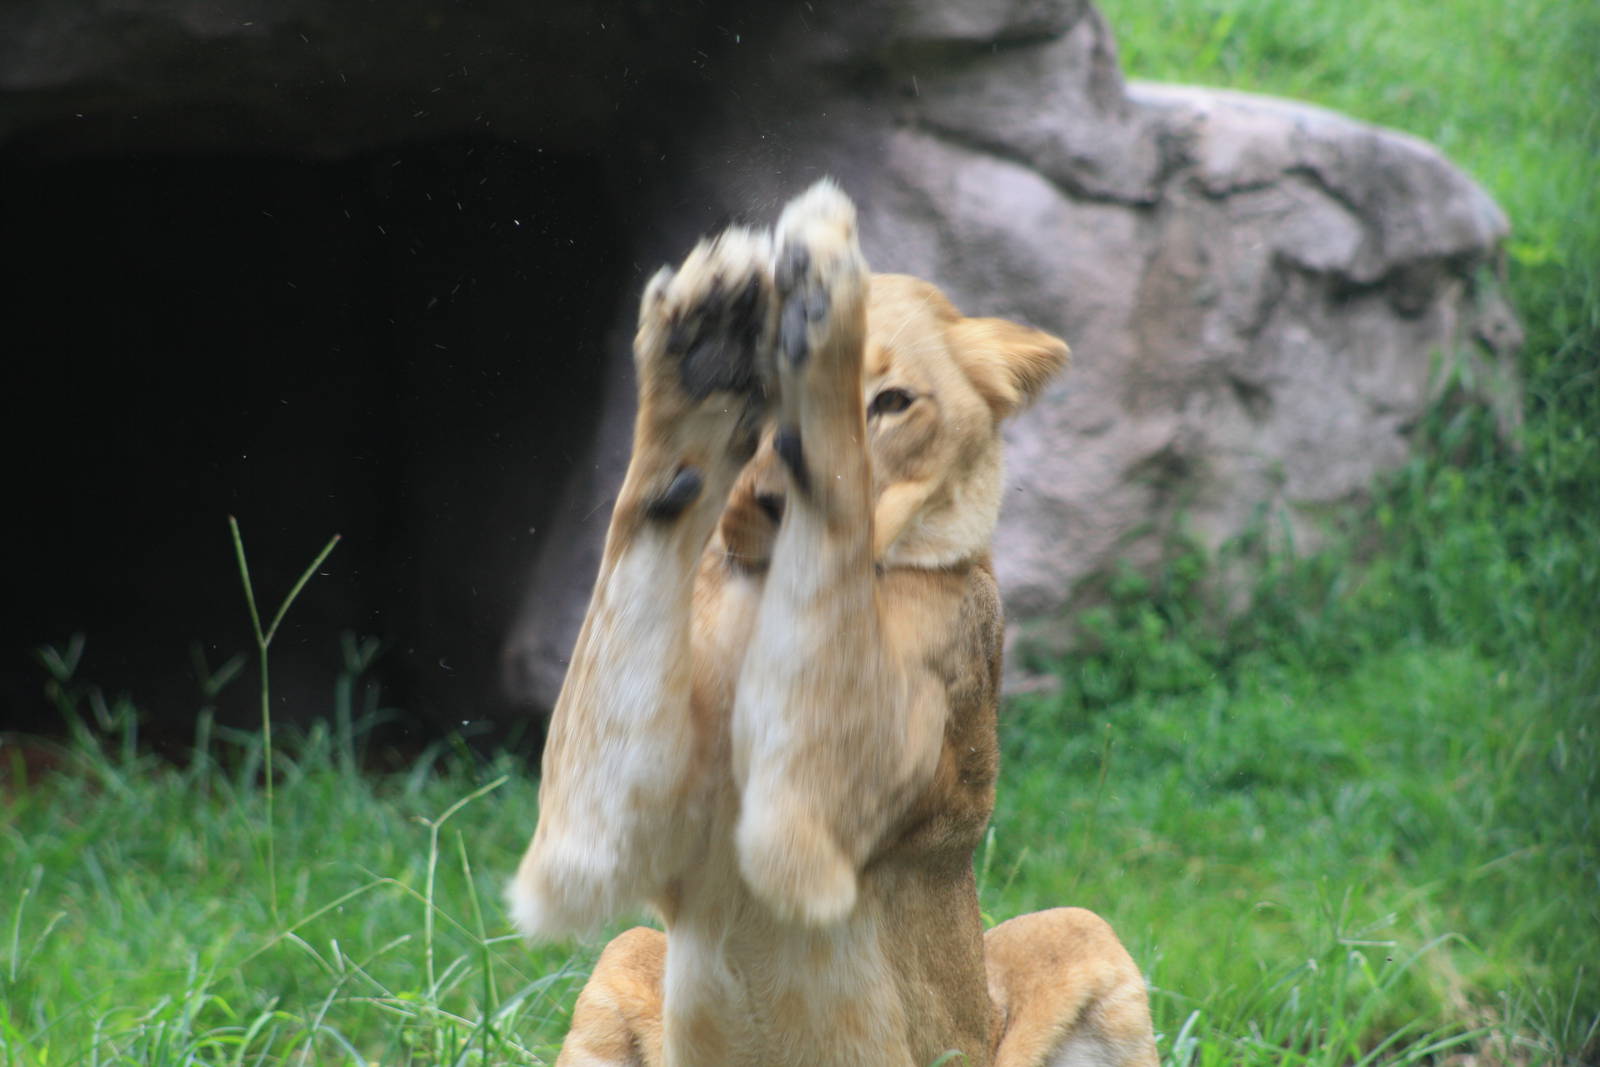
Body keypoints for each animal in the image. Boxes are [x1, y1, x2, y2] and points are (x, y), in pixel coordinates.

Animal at [508, 181, 1158, 1067]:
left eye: (890, 404)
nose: (770, 505)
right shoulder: (606, 829)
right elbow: (633, 542)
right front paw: (704, 330)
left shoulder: (814, 811)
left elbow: (839, 521)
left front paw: (820, 287)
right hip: (622, 956)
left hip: (1077, 939)